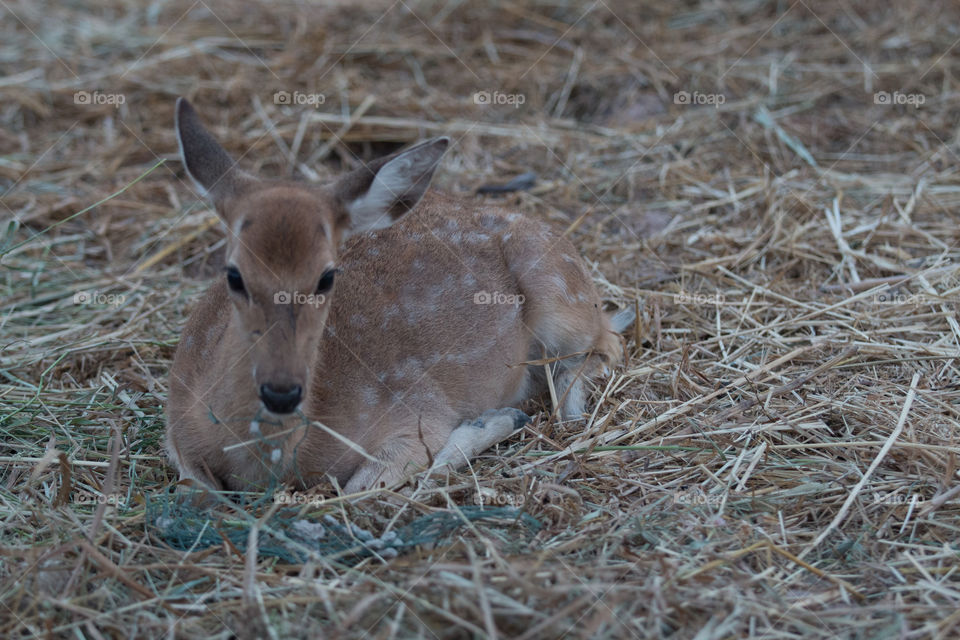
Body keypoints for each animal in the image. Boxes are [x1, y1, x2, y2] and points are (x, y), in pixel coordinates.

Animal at [165, 97, 632, 496]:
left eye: (326, 277)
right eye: (233, 275)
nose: (282, 391)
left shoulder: (415, 407)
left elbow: (360, 487)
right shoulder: (175, 425)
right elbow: (197, 488)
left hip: (560, 292)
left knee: (605, 345)